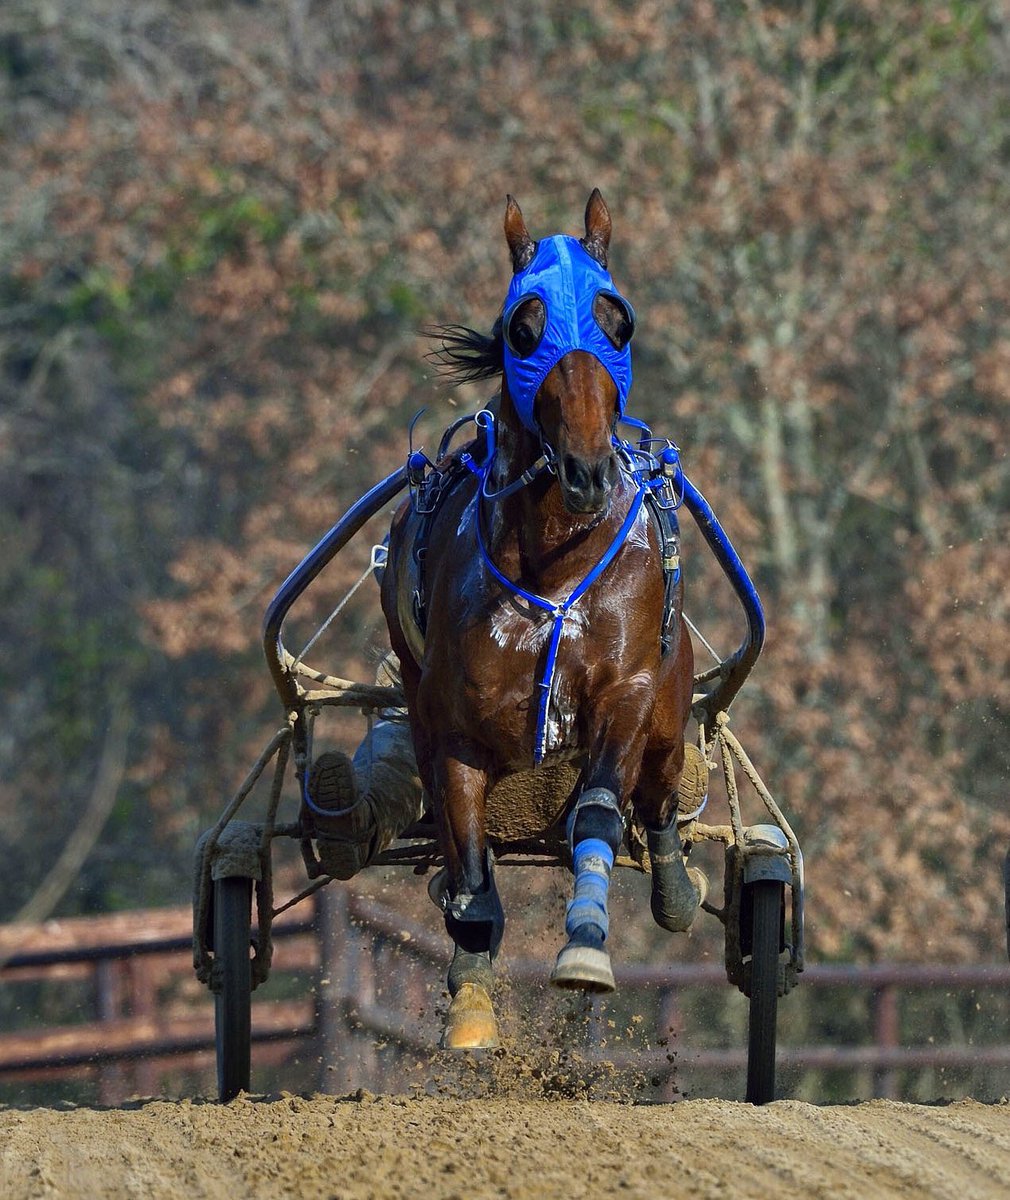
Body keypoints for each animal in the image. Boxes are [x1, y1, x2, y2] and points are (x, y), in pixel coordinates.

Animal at [379, 192, 700, 1046]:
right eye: (525, 329)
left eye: (617, 322)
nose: (586, 471)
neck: (553, 562)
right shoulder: (454, 723)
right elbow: (466, 848)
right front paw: (472, 993)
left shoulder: (627, 692)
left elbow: (598, 810)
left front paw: (585, 947)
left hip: (671, 705)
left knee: (659, 799)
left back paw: (676, 886)